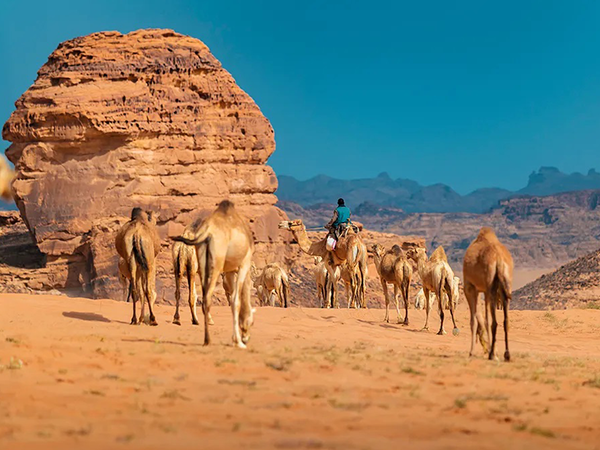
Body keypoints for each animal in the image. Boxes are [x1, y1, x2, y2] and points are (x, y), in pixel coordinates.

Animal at [173, 200, 258, 348]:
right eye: (251, 322)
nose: (246, 338)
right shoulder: (243, 264)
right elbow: (236, 299)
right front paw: (237, 341)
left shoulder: (229, 271)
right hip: (211, 265)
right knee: (200, 296)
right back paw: (204, 331)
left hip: (191, 265)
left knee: (188, 292)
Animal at [462, 227, 512, 360]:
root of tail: (499, 258)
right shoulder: (483, 290)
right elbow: (485, 319)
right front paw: (493, 350)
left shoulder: (470, 287)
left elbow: (474, 320)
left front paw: (472, 352)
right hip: (505, 286)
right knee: (505, 320)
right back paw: (506, 354)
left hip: (490, 286)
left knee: (494, 322)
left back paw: (491, 355)